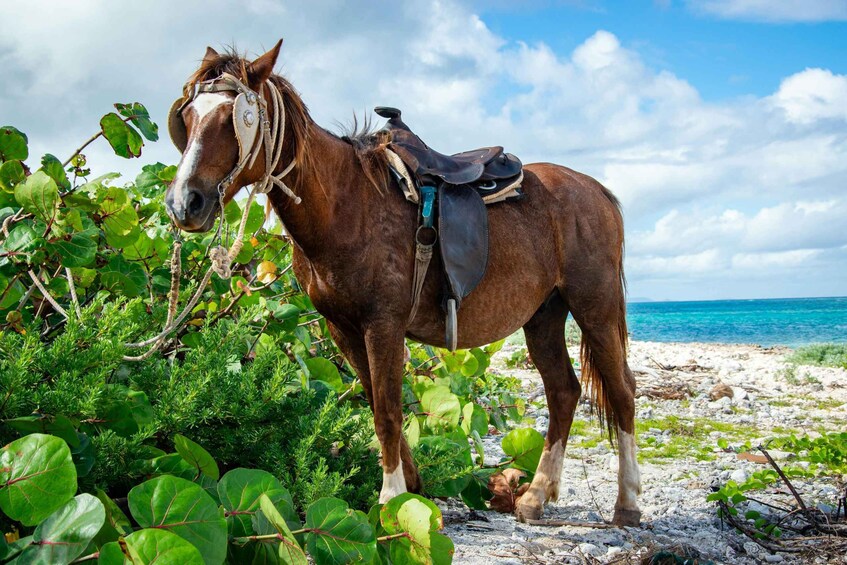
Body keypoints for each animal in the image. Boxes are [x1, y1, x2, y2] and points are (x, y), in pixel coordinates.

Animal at [163, 41, 641, 526]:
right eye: (187, 118)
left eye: (236, 117)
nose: (184, 202)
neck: (346, 206)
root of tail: (596, 190)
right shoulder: (342, 328)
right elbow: (376, 404)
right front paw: (413, 489)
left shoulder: (384, 326)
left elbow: (389, 413)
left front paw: (390, 499)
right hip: (544, 315)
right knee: (563, 391)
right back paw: (536, 495)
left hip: (595, 306)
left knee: (622, 393)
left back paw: (627, 502)